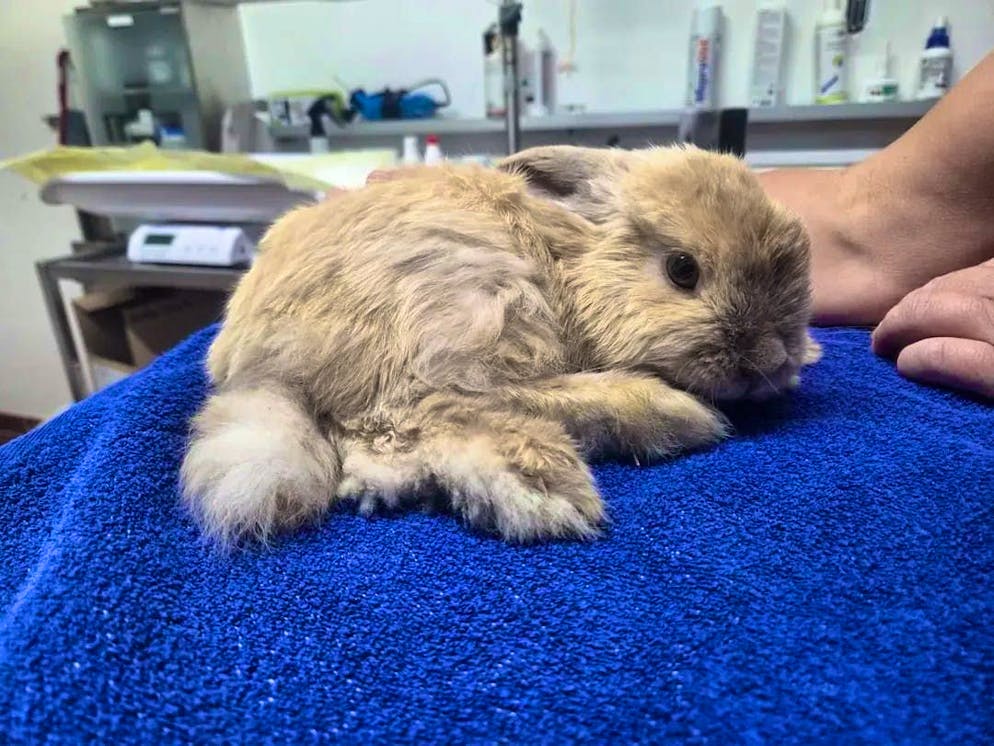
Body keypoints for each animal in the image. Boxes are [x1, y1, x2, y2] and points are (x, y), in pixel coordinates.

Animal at [181, 144, 821, 545]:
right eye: (683, 270)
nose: (771, 361)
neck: (572, 260)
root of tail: (259, 368)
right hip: (475, 300)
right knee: (426, 411)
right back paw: (561, 476)